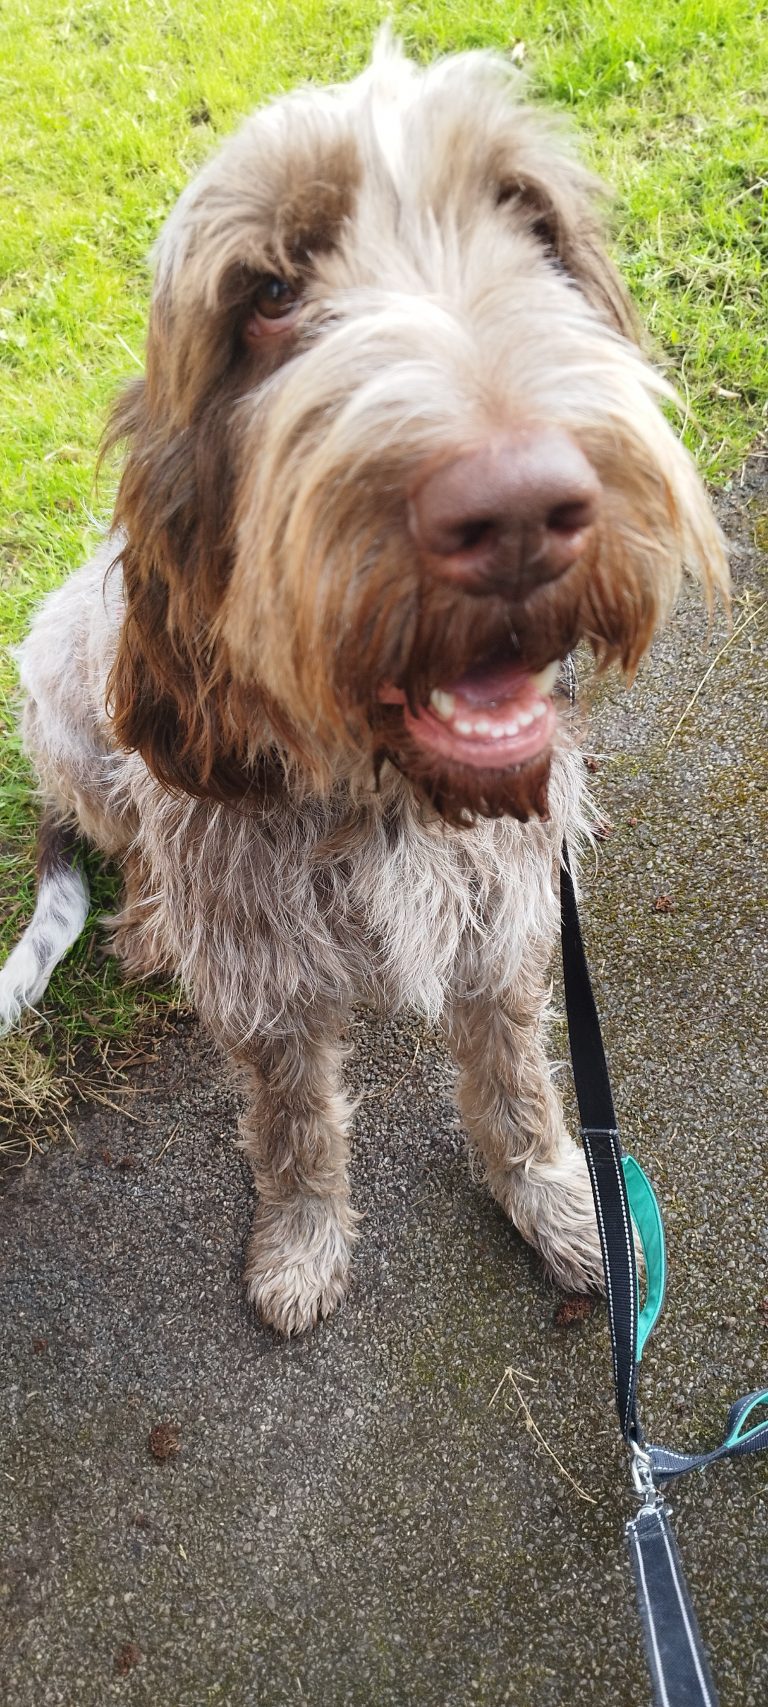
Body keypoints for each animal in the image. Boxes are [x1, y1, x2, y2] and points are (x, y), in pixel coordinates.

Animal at [0, 33, 726, 1334]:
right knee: (122, 830)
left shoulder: (502, 925)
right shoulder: (268, 979)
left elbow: (518, 1083)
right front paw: (301, 1242)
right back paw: (148, 919)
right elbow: (295, 1128)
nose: (519, 511)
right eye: (268, 294)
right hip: (60, 696)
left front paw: (557, 1201)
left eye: (530, 223)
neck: (385, 792)